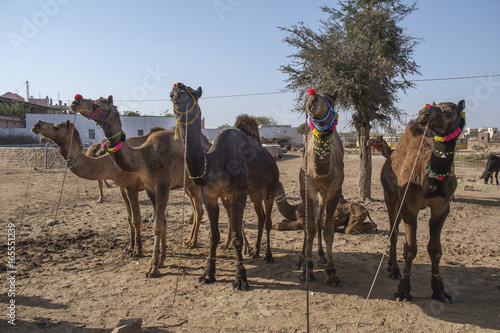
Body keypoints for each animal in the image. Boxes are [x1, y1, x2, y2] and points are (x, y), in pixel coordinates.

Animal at [30, 120, 148, 256]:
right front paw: (130, 247)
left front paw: (138, 251)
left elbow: (136, 219)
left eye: (58, 126)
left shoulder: (131, 187)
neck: (110, 163)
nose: (36, 125)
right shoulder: (122, 187)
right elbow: (129, 218)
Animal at [70, 94, 209, 278]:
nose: (75, 102)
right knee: (198, 210)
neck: (143, 156)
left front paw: (151, 265)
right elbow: (157, 221)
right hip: (190, 185)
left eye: (100, 104)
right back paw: (190, 241)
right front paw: (160, 259)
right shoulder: (148, 187)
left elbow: (155, 224)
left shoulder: (159, 185)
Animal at [171, 82, 282, 288]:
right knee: (261, 217)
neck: (214, 163)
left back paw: (268, 256)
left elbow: (238, 237)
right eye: (171, 94)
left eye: (193, 94)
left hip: (270, 188)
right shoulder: (210, 197)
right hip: (254, 193)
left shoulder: (238, 195)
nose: (179, 95)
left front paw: (241, 279)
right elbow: (213, 236)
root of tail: (272, 158)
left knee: (268, 220)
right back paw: (255, 252)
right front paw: (208, 274)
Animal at [294, 88, 346, 286]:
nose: (312, 99)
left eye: (331, 99)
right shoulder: (307, 189)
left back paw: (322, 255)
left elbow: (329, 231)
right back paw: (301, 260)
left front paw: (332, 273)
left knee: (318, 220)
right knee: (310, 225)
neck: (321, 171)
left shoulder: (334, 191)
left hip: (323, 194)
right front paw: (307, 270)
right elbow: (309, 229)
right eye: (310, 95)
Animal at [380, 99, 466, 300]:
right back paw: (394, 270)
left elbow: (435, 250)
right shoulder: (409, 205)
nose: (424, 114)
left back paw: (391, 267)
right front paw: (403, 291)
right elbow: (410, 249)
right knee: (394, 231)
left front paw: (440, 291)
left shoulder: (442, 207)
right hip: (391, 196)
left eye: (450, 111)